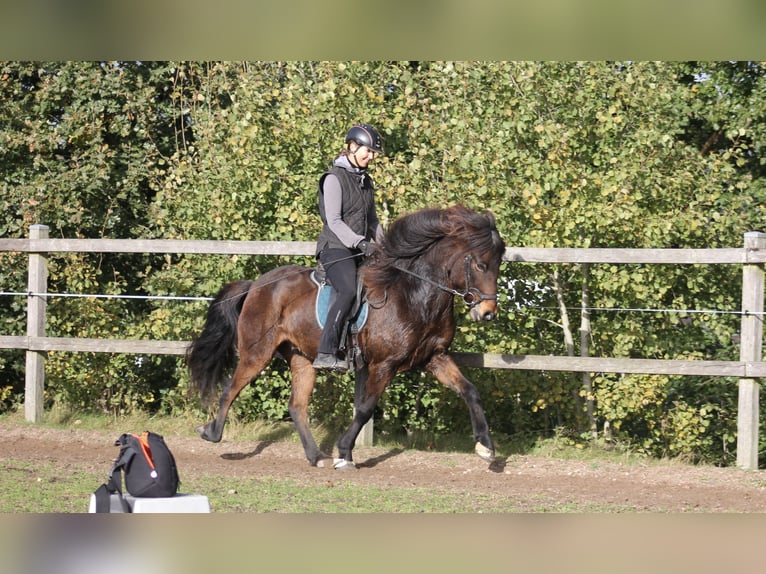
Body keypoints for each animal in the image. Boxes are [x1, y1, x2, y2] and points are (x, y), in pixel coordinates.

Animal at [187, 205, 508, 470]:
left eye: (498, 264)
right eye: (480, 265)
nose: (487, 313)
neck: (416, 295)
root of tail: (257, 285)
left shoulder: (435, 358)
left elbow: (470, 391)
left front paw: (486, 448)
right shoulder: (383, 364)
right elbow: (365, 408)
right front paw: (344, 452)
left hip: (302, 358)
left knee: (297, 406)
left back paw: (315, 457)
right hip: (257, 352)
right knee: (230, 388)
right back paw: (211, 433)